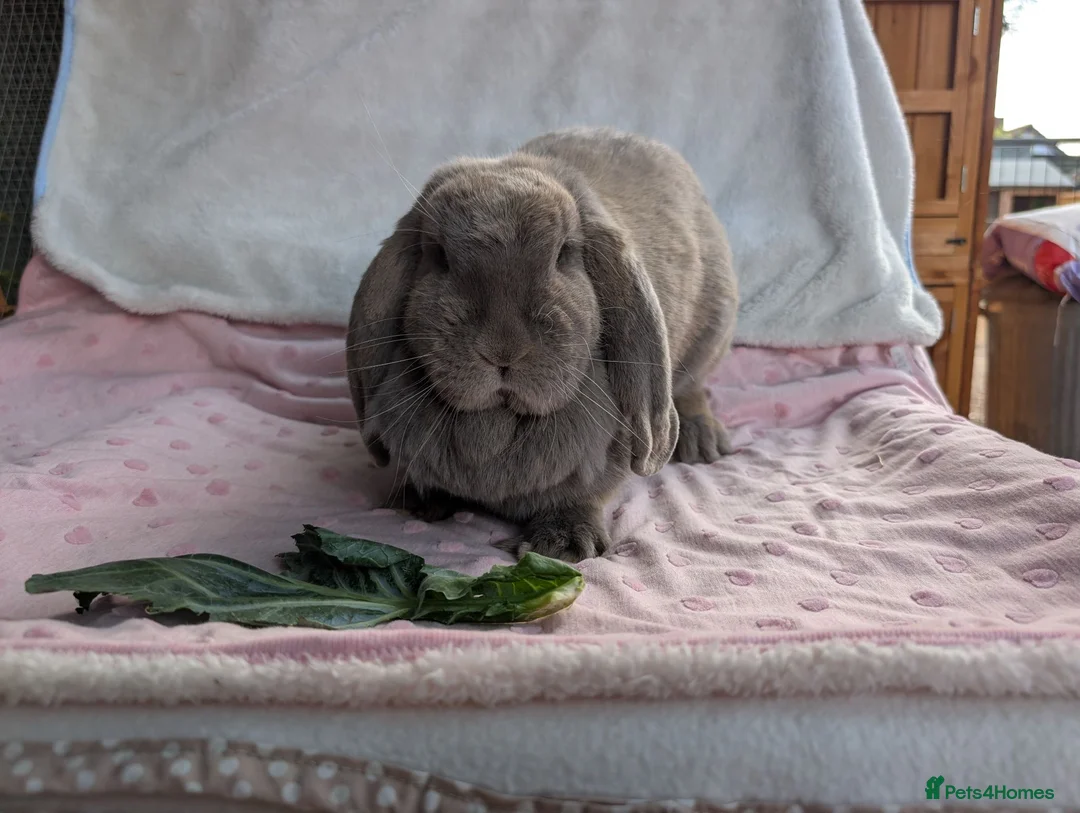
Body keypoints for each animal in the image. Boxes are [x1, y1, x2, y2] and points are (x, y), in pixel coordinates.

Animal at [346, 127, 737, 562]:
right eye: (438, 255)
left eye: (564, 253)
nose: (502, 350)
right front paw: (418, 501)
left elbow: (585, 494)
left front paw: (562, 544)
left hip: (712, 332)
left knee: (691, 388)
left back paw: (701, 442)